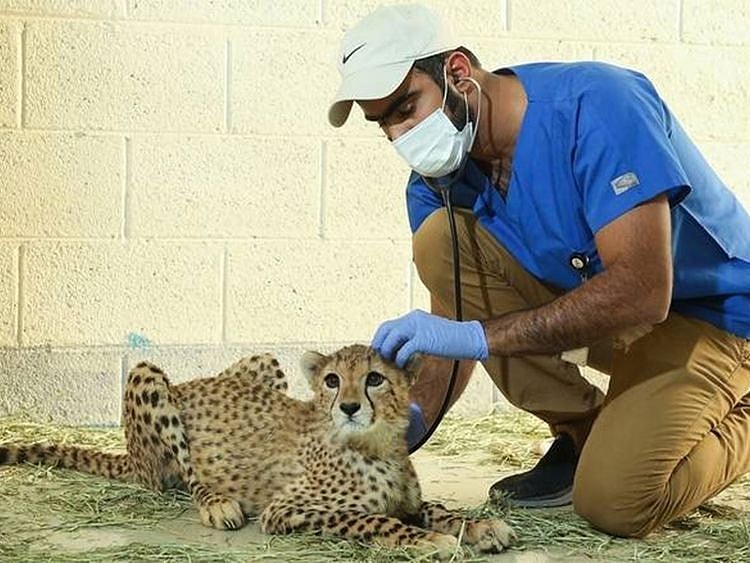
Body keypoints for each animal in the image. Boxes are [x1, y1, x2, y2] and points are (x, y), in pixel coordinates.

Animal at [0, 344, 514, 558]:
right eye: (332, 380)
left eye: (374, 378)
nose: (349, 406)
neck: (374, 443)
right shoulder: (285, 509)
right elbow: (371, 518)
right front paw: (426, 540)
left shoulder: (408, 498)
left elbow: (437, 508)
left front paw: (480, 526)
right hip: (147, 375)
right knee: (186, 475)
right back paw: (218, 504)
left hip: (264, 363)